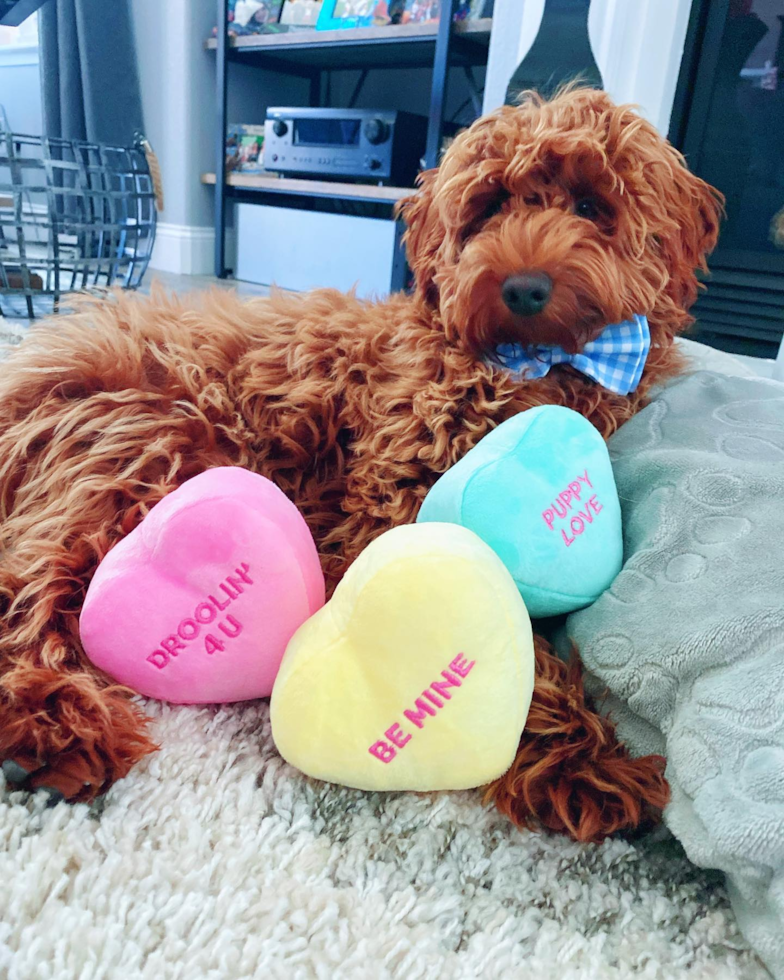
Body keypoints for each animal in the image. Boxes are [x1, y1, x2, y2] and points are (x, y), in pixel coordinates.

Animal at [0, 88, 724, 840]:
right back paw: (48, 723)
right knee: (26, 589)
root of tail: (39, 365)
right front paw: (580, 761)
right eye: (491, 205)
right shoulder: (396, 501)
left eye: (589, 205)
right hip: (140, 456)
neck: (528, 364)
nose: (524, 288)